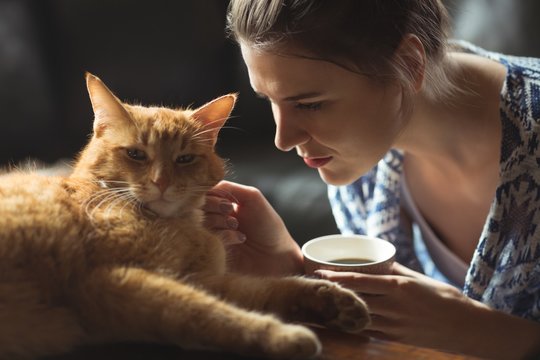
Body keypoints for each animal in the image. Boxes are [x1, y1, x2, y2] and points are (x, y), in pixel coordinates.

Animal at [0, 74, 370, 360]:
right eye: (136, 154)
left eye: (185, 159)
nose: (161, 182)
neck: (177, 225)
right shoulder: (108, 282)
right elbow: (208, 314)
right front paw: (286, 337)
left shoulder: (203, 278)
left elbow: (266, 288)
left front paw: (332, 301)